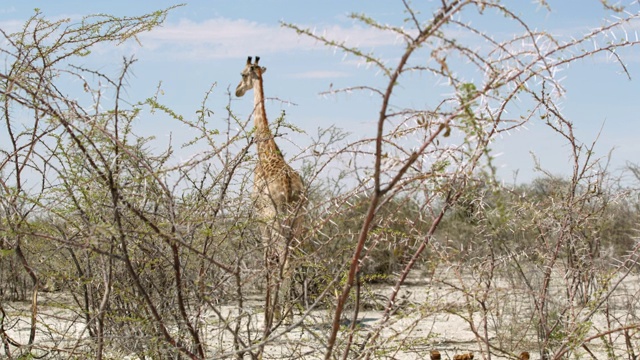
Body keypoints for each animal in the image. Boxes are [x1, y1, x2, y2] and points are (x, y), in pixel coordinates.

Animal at [235, 56, 304, 326]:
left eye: (243, 74)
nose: (237, 91)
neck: (266, 151)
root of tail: (290, 187)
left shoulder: (260, 219)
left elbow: (268, 262)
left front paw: (268, 315)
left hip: (276, 220)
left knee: (283, 260)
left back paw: (279, 316)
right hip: (297, 220)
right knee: (293, 259)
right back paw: (289, 313)